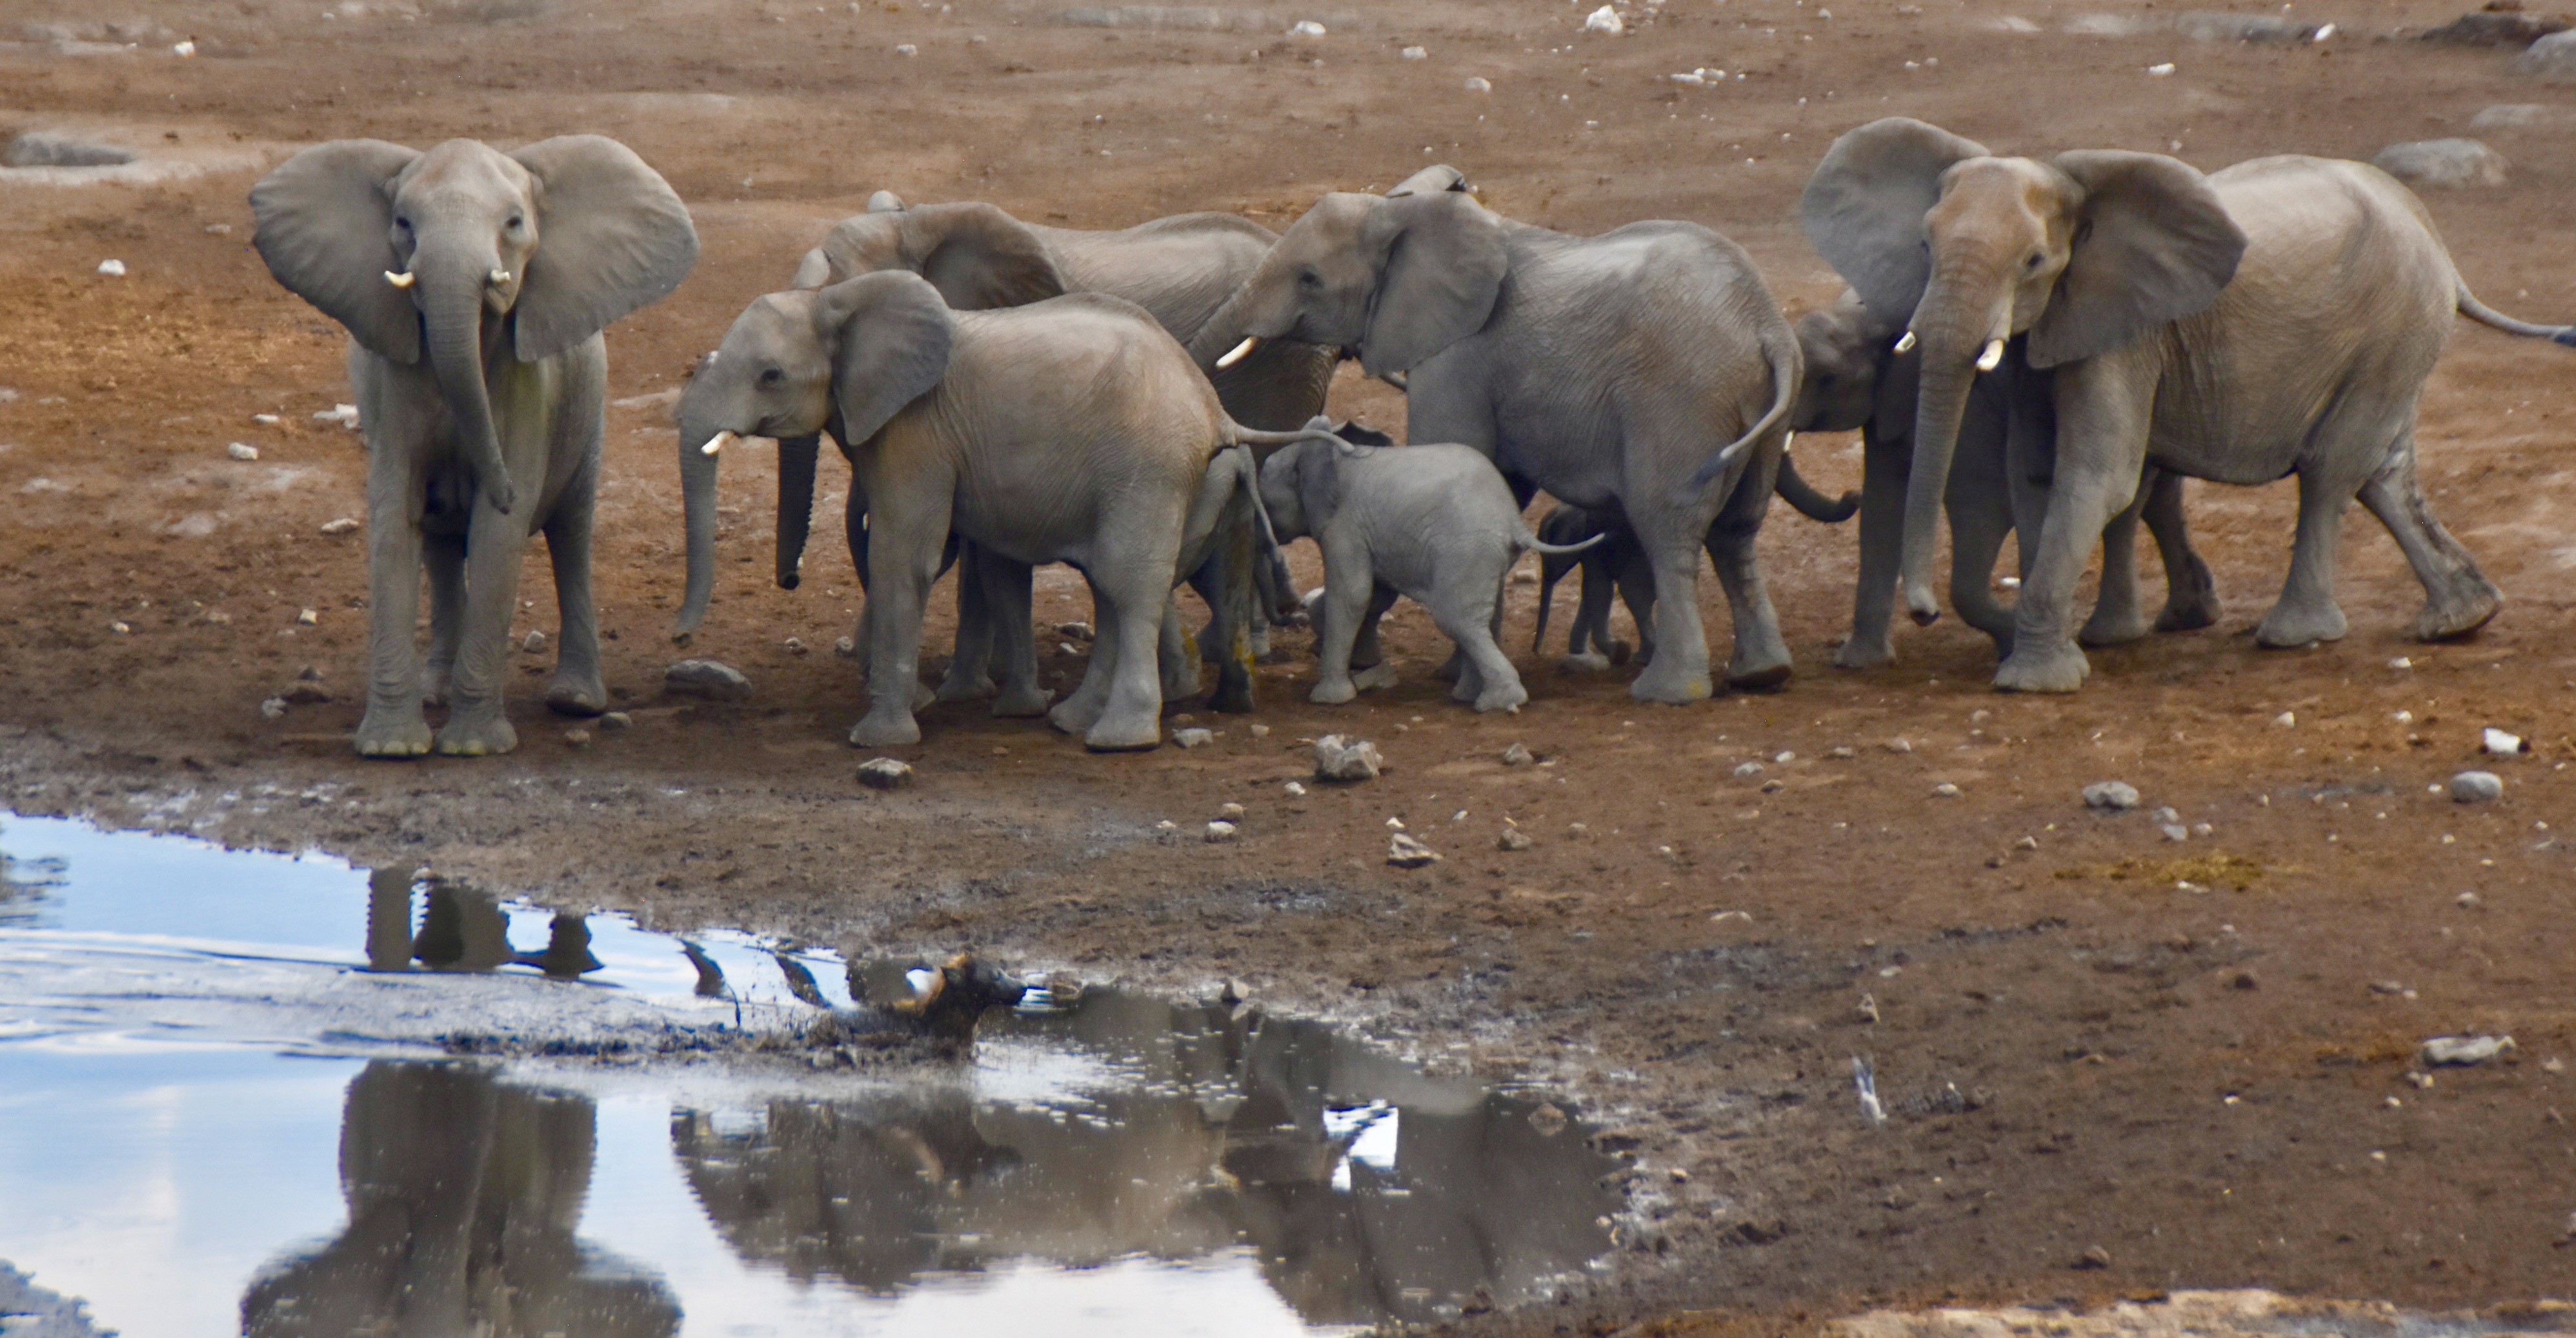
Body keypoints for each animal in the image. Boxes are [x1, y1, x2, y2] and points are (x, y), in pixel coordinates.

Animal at [252, 144, 701, 763]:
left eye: (514, 223)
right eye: (403, 223)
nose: (505, 487)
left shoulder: (531, 389)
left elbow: (496, 535)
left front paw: (472, 748)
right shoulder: (394, 388)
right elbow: (395, 519)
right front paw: (393, 748)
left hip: (588, 406)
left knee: (571, 532)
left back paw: (576, 701)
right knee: (442, 548)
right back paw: (435, 691)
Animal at [680, 276, 1329, 747]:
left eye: (771, 376)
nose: (681, 636)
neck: (836, 297)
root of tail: (1214, 410)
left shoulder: (917, 431)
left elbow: (904, 559)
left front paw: (877, 741)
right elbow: (993, 565)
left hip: (1149, 466)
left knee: (1128, 584)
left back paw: (1118, 740)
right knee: (1116, 586)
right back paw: (1072, 721)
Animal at [1262, 433, 1597, 722]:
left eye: (1266, 501)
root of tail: (1514, 520)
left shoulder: (1344, 527)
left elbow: (1352, 595)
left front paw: (1328, 700)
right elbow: (1377, 593)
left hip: (1465, 550)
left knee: (1456, 619)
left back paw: (1497, 702)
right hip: (1488, 556)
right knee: (1481, 619)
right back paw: (1469, 695)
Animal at [1793, 294, 2215, 670]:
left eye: (1827, 379)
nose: (1848, 495)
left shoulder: (1972, 415)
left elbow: (1982, 508)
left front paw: (2010, 640)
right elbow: (1880, 514)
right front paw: (1858, 664)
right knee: (2157, 495)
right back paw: (2189, 615)